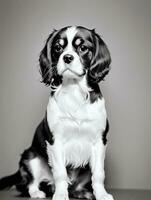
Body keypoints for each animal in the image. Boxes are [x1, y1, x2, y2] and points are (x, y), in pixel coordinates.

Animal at [0, 26, 113, 200]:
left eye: (83, 48)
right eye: (58, 48)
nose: (67, 57)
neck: (74, 89)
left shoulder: (99, 140)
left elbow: (99, 173)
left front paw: (101, 194)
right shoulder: (55, 141)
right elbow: (60, 173)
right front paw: (60, 194)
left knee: (75, 185)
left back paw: (82, 192)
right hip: (31, 157)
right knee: (29, 183)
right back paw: (37, 192)